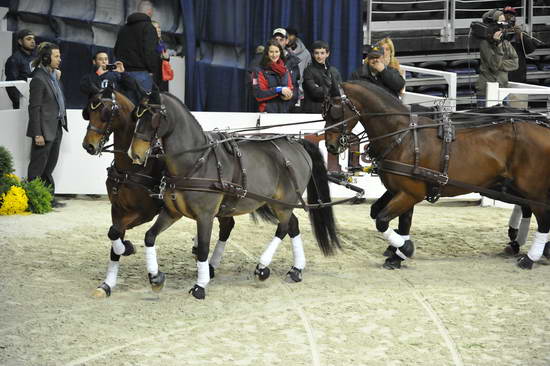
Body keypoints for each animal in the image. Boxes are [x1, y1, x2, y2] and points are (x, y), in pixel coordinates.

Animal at [130, 93, 340, 298]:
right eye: (136, 116)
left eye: (153, 118)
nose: (135, 154)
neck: (196, 162)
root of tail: (297, 143)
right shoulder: (172, 212)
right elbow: (149, 236)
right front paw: (156, 278)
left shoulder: (205, 215)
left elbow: (203, 248)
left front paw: (200, 286)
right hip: (276, 203)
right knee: (293, 225)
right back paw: (296, 270)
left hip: (284, 203)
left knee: (283, 228)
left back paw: (262, 267)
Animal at [324, 81, 550, 270]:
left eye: (335, 111)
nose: (331, 146)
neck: (403, 136)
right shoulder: (401, 191)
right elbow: (393, 220)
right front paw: (398, 254)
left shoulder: (410, 194)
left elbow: (382, 220)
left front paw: (404, 250)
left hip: (532, 190)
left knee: (542, 218)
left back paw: (530, 257)